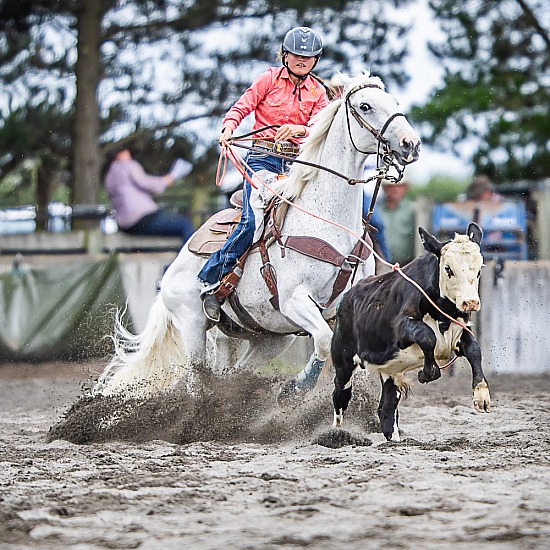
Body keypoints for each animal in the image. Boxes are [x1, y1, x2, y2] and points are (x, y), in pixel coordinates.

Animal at [95, 73, 422, 402]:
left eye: (394, 102)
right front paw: (294, 389)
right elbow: (322, 340)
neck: (328, 221)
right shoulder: (293, 300)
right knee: (195, 379)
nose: (411, 144)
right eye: (365, 106)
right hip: (192, 325)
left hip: (267, 338)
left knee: (232, 372)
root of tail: (173, 268)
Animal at [332, 222, 492, 442]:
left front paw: (481, 395)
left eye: (478, 270)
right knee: (340, 394)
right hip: (344, 362)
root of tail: (348, 296)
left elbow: (475, 350)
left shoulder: (460, 333)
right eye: (448, 269)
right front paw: (427, 372)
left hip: (390, 372)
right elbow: (427, 337)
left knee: (387, 408)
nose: (471, 302)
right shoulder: (403, 327)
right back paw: (336, 431)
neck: (442, 314)